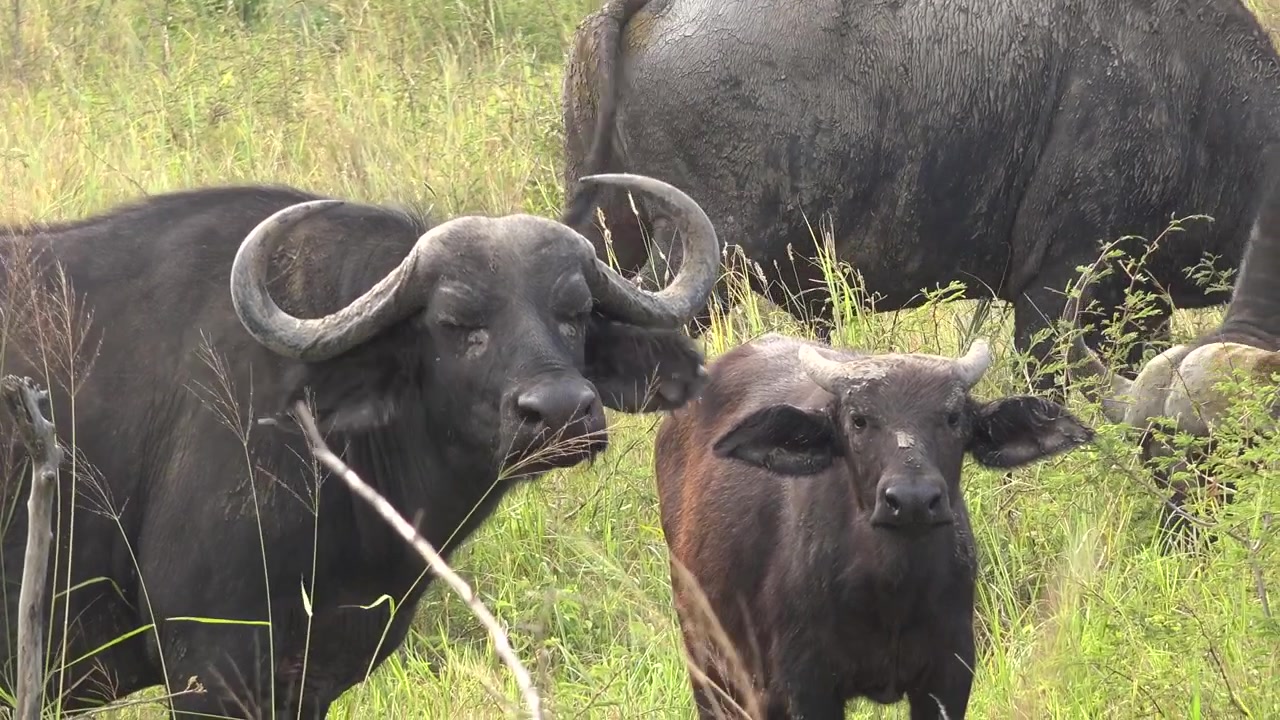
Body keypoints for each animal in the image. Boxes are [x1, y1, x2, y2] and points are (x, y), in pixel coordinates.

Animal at [654, 335, 1094, 718]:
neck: (891, 591)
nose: (913, 500)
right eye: (859, 420)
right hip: (707, 660)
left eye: (953, 417)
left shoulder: (949, 675)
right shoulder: (807, 684)